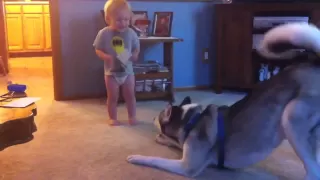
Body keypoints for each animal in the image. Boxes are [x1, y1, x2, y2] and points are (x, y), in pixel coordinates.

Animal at [127, 22, 320, 179]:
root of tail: (314, 64)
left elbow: (155, 159)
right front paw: (163, 139)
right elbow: (175, 143)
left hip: (291, 117)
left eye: (159, 116)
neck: (191, 121)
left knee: (313, 171)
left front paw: (137, 157)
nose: (153, 118)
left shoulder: (187, 166)